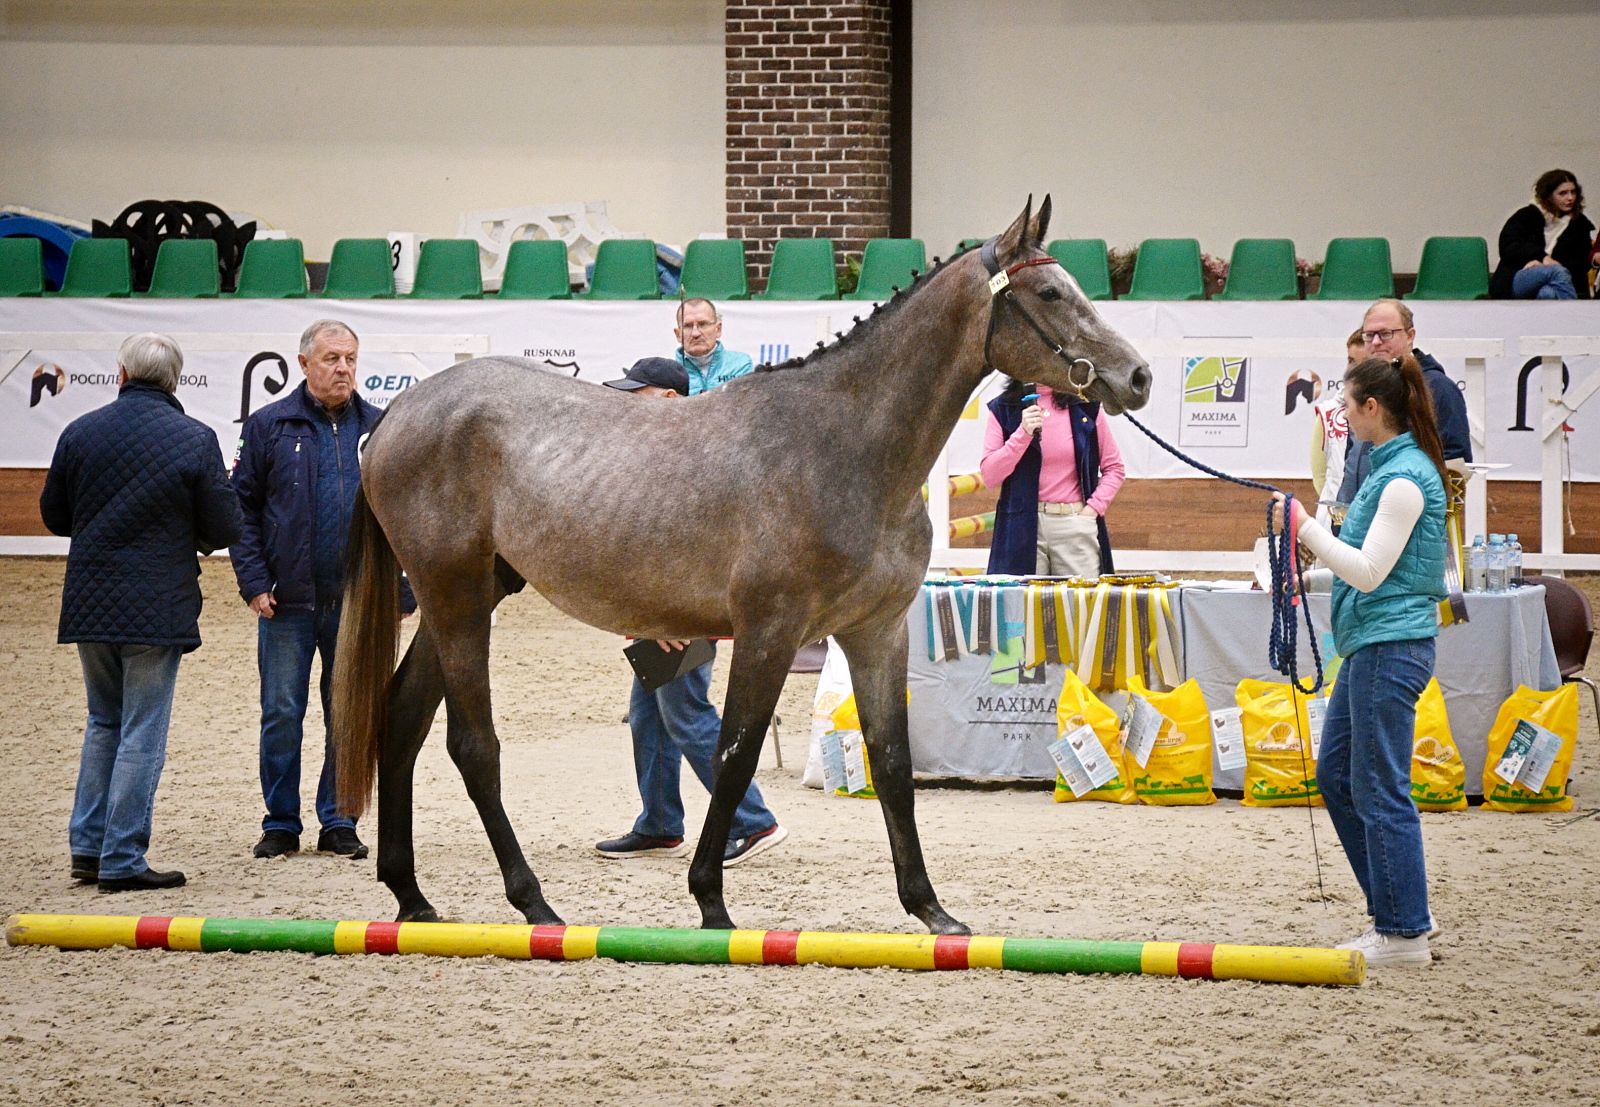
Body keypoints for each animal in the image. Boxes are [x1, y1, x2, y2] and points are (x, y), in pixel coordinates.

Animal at [334, 196, 1152, 934]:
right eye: (1050, 294)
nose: (1138, 376)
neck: (842, 445)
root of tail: (398, 414)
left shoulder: (877, 631)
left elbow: (892, 763)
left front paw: (931, 910)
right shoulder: (769, 631)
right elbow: (735, 752)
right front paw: (710, 901)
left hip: (468, 597)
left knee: (401, 720)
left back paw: (411, 896)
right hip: (455, 597)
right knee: (473, 746)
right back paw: (532, 902)